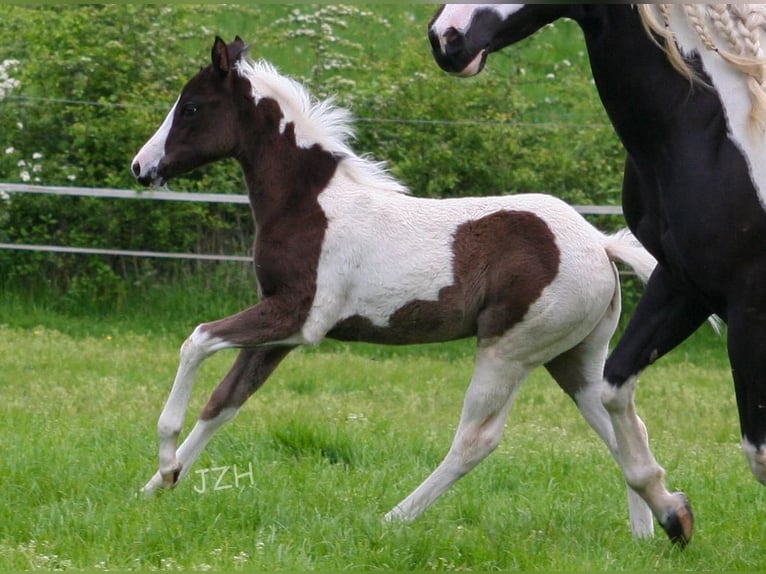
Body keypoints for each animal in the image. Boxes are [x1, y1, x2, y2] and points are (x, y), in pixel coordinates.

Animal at [428, 2, 766, 548]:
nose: (447, 38)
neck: (719, 134)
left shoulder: (749, 303)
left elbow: (759, 454)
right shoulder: (682, 284)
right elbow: (613, 387)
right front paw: (673, 512)